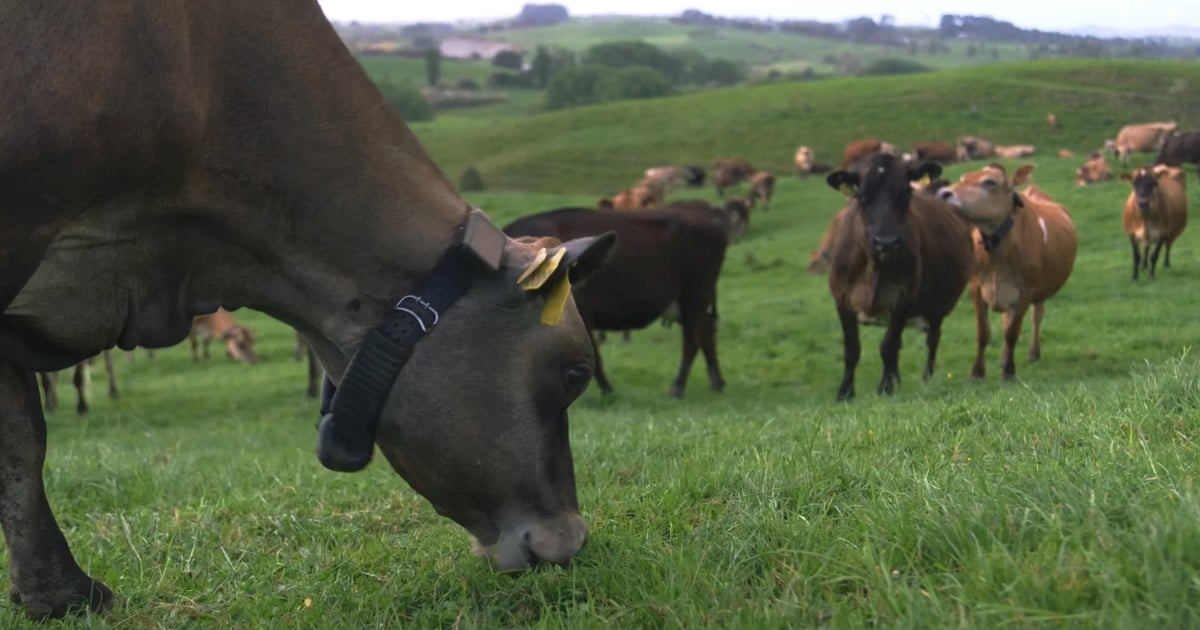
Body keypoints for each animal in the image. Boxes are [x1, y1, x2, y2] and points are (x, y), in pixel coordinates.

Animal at [0, 2, 615, 618]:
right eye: (575, 374)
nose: (573, 540)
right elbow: (25, 440)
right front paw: (63, 588)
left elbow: (22, 442)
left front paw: (53, 591)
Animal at [504, 201, 728, 399]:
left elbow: (592, 354)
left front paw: (607, 390)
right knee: (706, 332)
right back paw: (717, 382)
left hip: (694, 297)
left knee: (692, 339)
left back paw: (678, 386)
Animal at [824, 154, 974, 401]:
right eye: (861, 196)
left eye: (906, 193)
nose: (886, 242)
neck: (873, 269)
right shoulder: (841, 297)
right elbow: (852, 349)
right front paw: (845, 393)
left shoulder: (904, 297)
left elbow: (888, 346)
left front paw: (885, 388)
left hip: (938, 306)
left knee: (932, 339)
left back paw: (926, 379)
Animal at [938, 164, 1078, 380]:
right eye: (963, 178)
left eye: (990, 182)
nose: (943, 193)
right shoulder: (976, 287)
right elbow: (983, 333)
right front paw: (977, 373)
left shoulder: (1026, 290)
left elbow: (1012, 333)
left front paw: (1009, 372)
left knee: (1036, 316)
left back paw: (1033, 353)